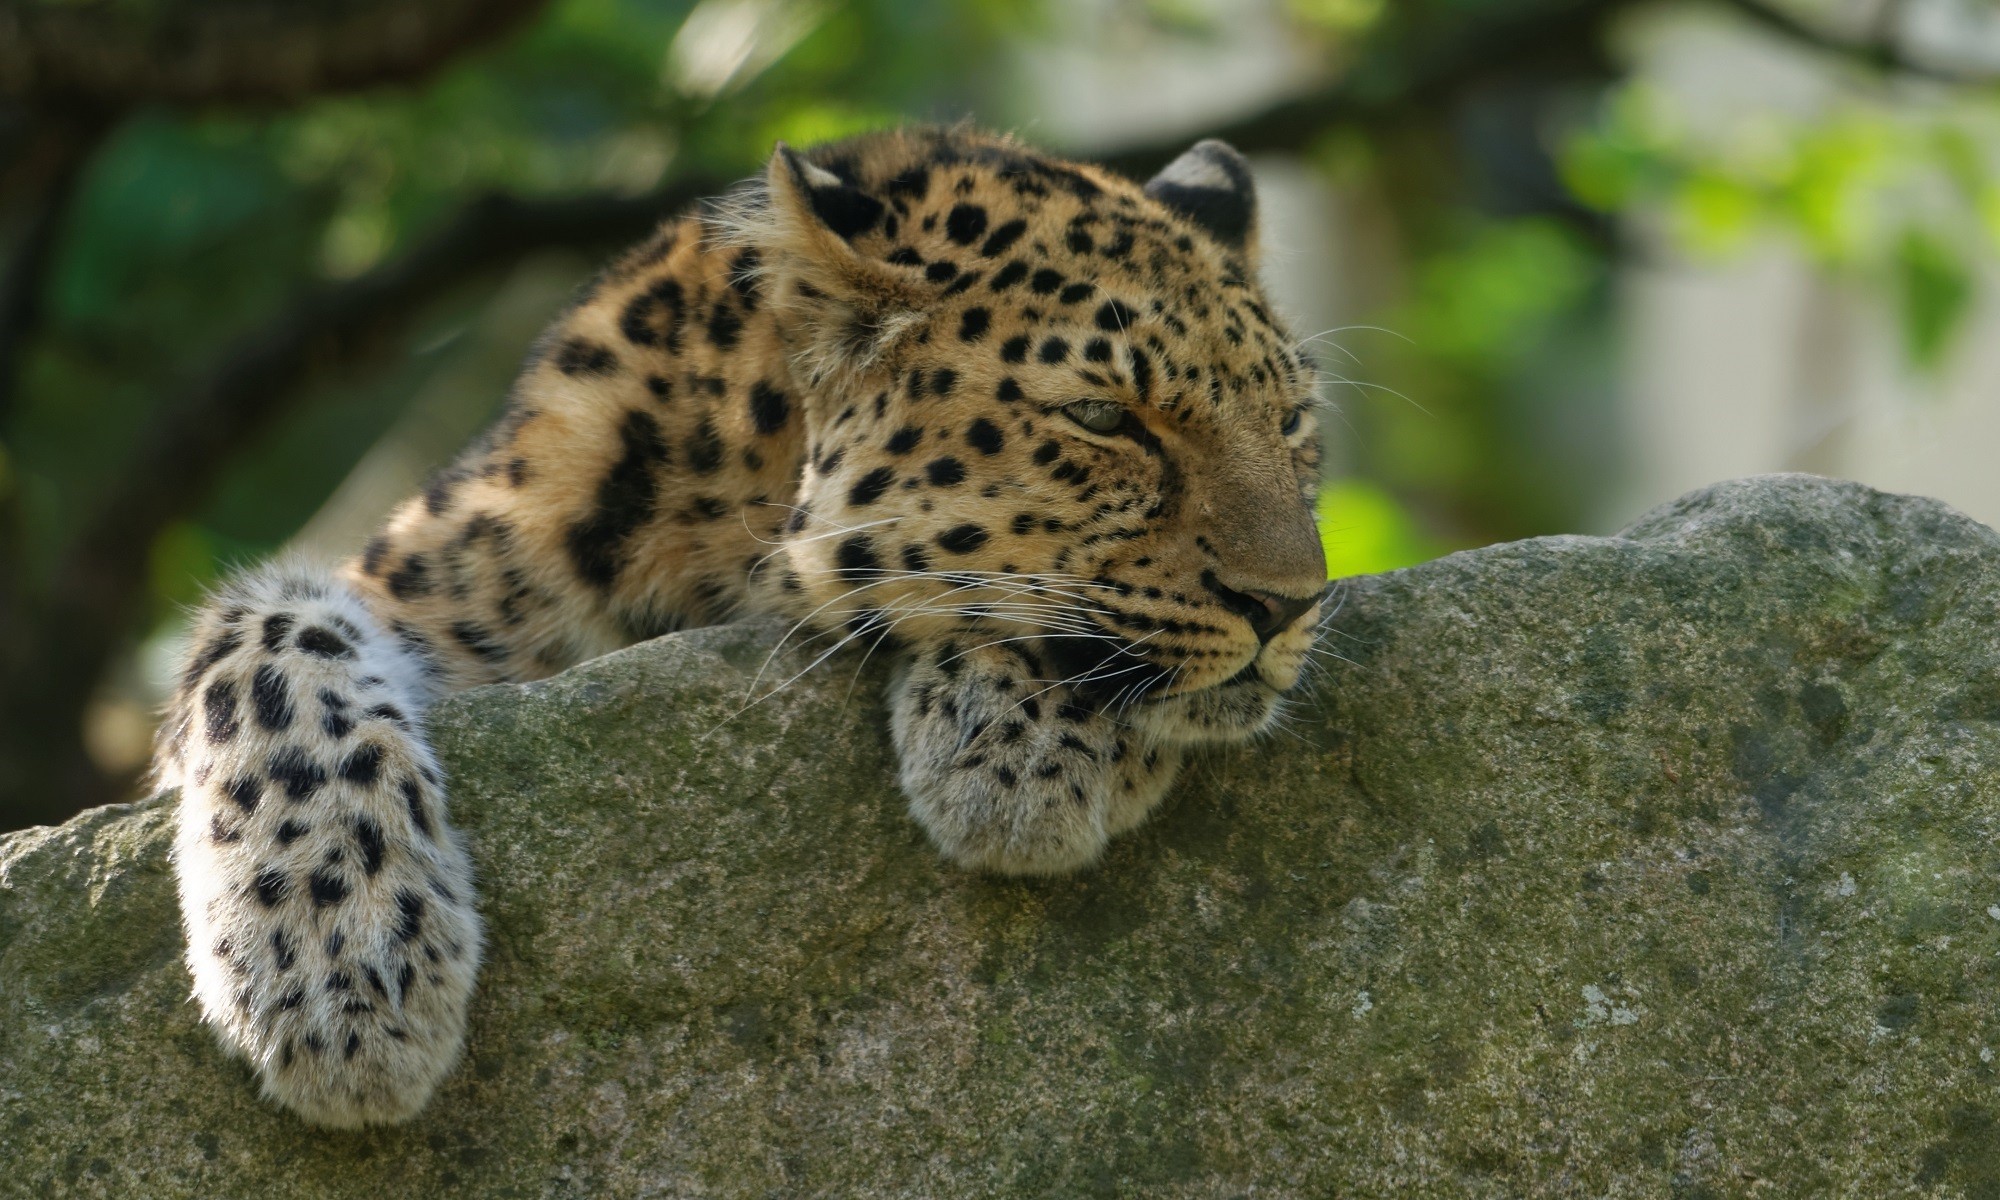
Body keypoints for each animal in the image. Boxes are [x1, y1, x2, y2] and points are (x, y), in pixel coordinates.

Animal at [152, 126, 1328, 1128]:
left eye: (1291, 423)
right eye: (1099, 417)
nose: (1291, 601)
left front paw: (1023, 744)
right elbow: (261, 635)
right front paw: (340, 966)